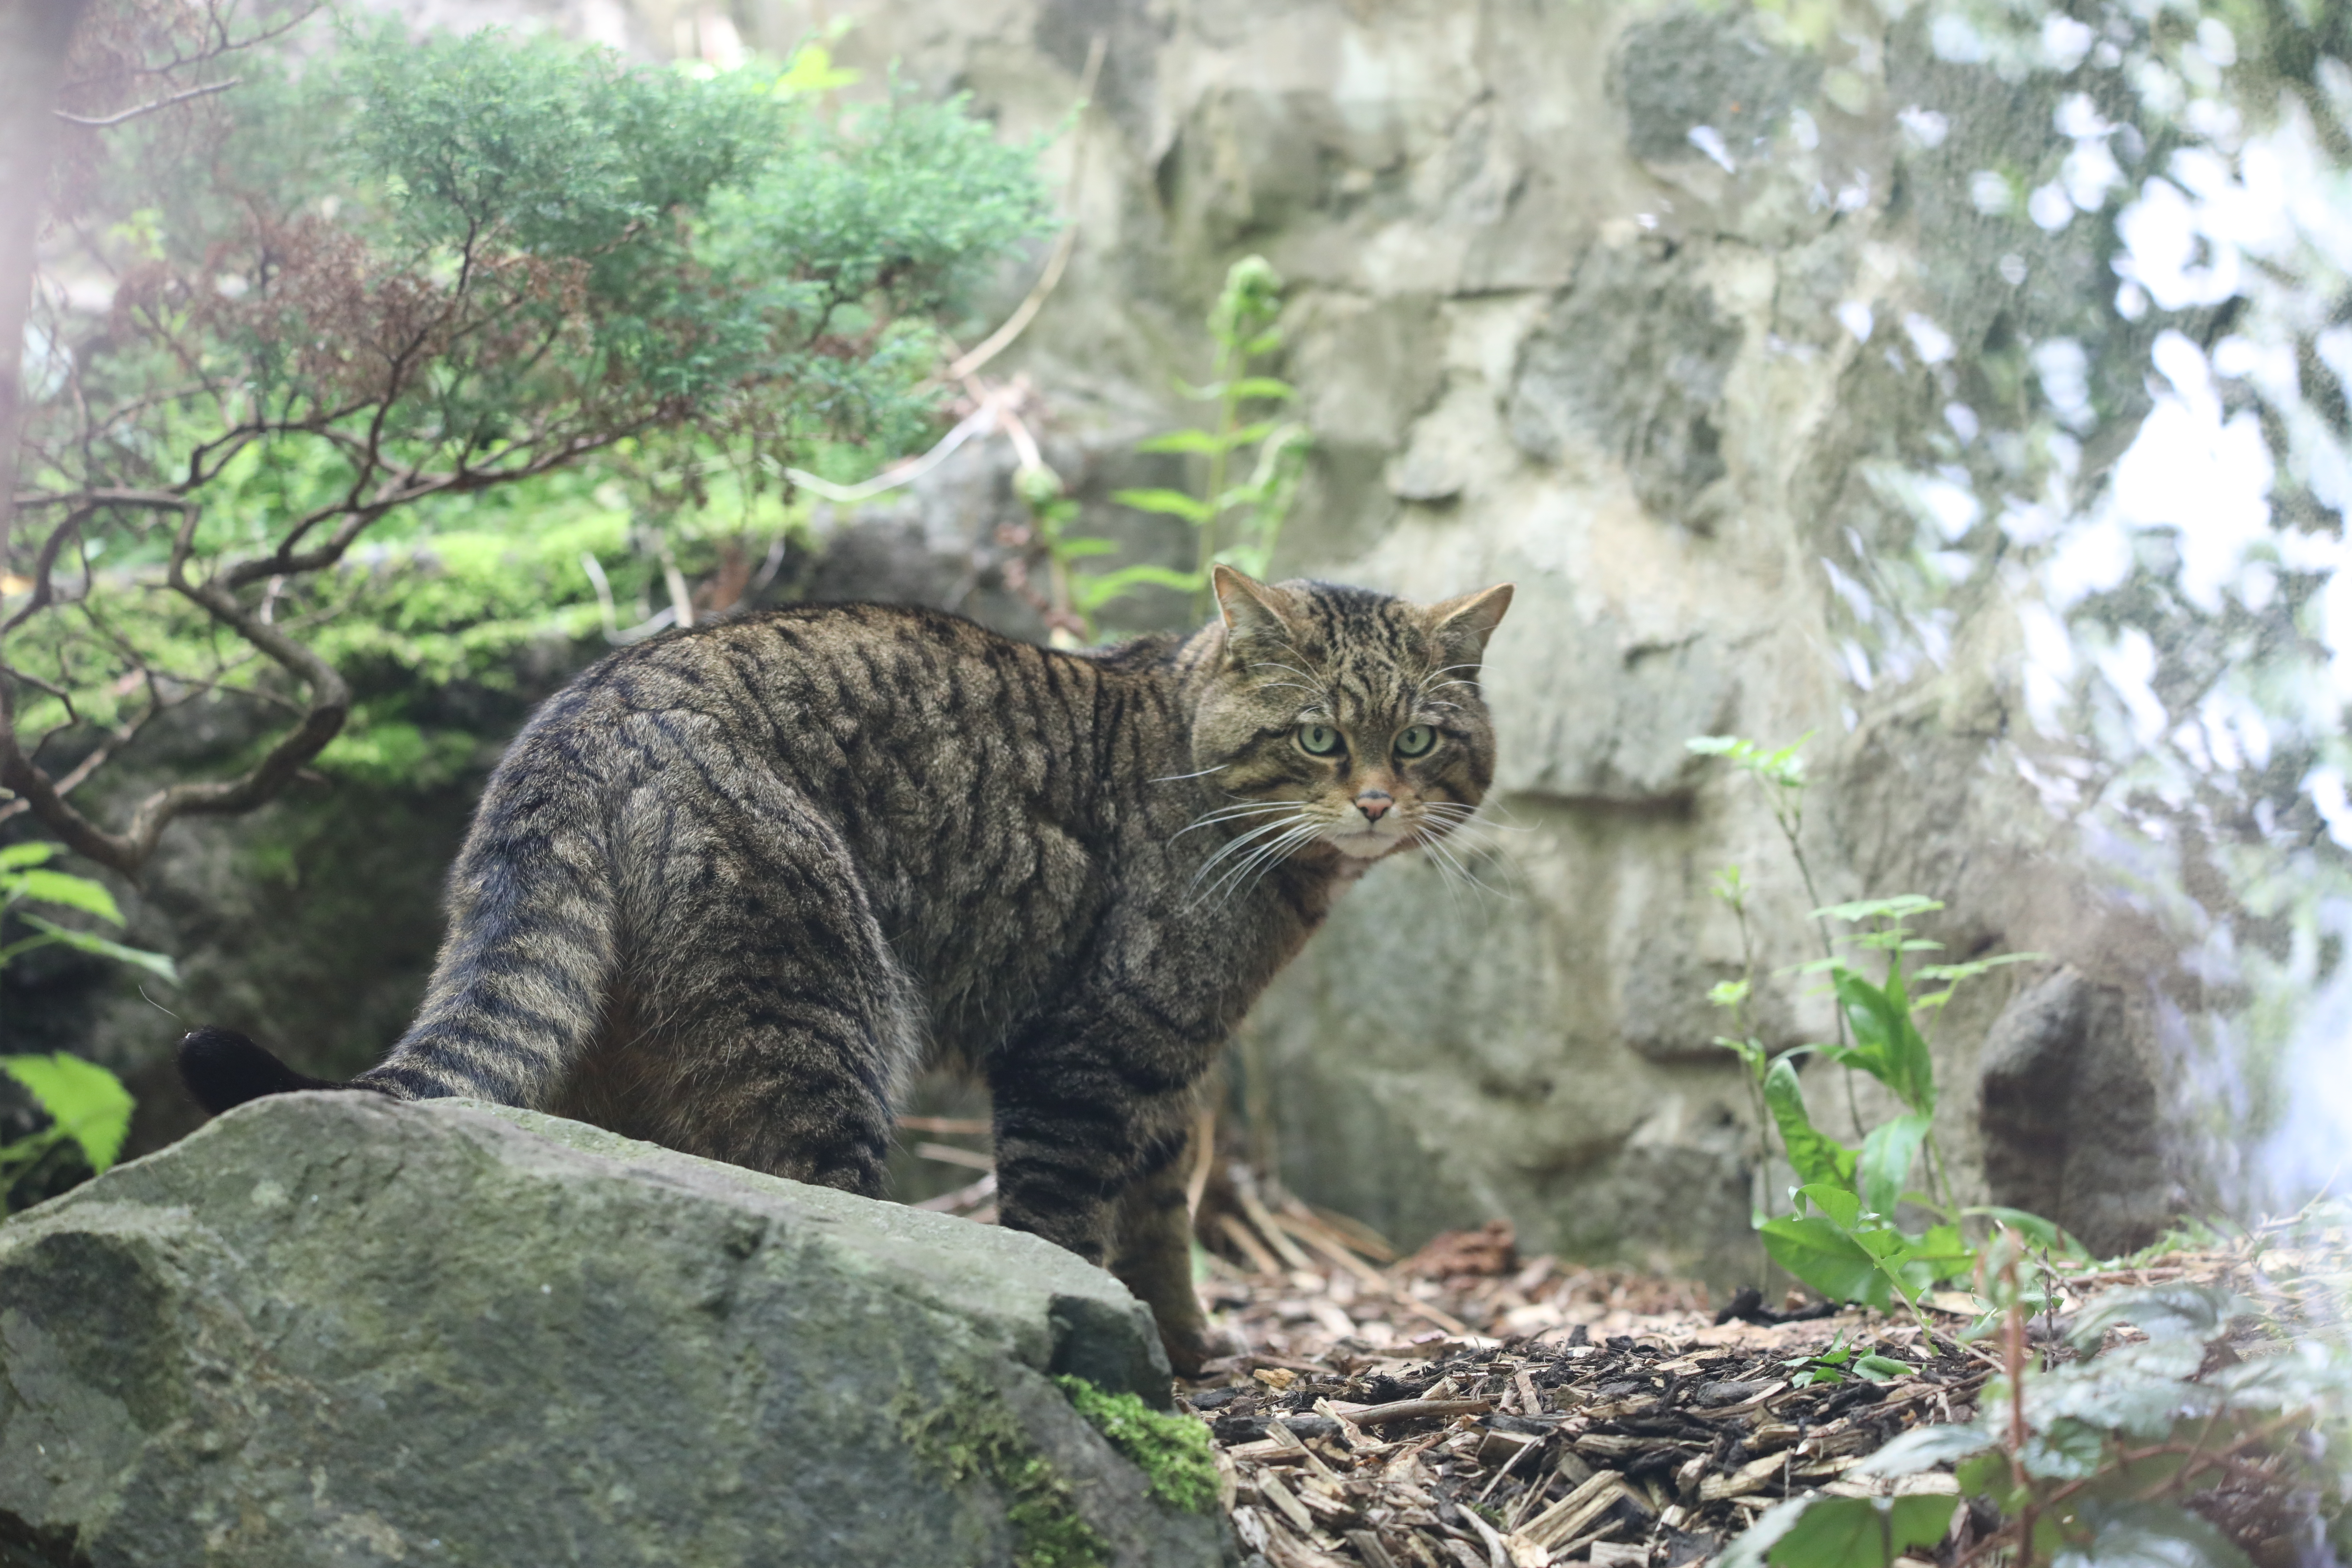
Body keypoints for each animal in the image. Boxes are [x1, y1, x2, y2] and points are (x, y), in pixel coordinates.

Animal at [178, 566, 1505, 1373]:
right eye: (1321, 737)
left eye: (1419, 738)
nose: (1376, 802)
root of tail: (581, 721)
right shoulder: (1082, 1056)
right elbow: (1071, 1227)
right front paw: (1129, 1373)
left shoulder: (1166, 1073)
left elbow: (1161, 1223)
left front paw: (1182, 1352)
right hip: (818, 1023)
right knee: (815, 1216)